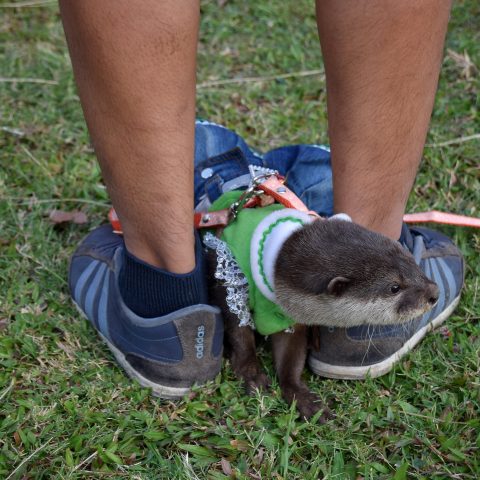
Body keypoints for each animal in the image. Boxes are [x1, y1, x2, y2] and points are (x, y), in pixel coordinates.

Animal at [206, 214, 438, 420]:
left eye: (412, 262)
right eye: (394, 287)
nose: (434, 293)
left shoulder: (291, 319)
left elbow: (290, 355)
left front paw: (301, 395)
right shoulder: (232, 278)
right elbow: (238, 329)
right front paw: (251, 371)